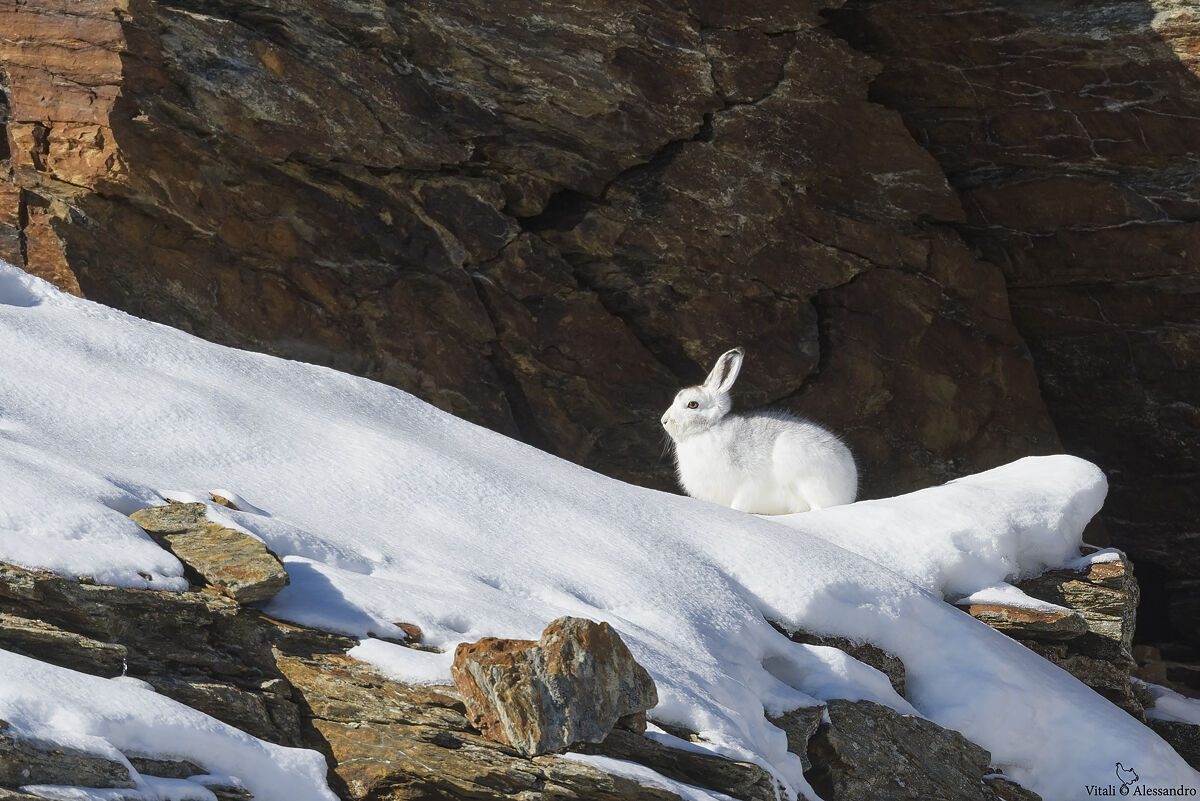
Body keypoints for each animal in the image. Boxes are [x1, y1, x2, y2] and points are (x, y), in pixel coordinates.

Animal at [660, 347, 858, 514]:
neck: (708, 429)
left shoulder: (749, 483)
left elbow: (740, 502)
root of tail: (851, 485)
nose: (664, 421)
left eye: (692, 404)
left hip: (804, 469)